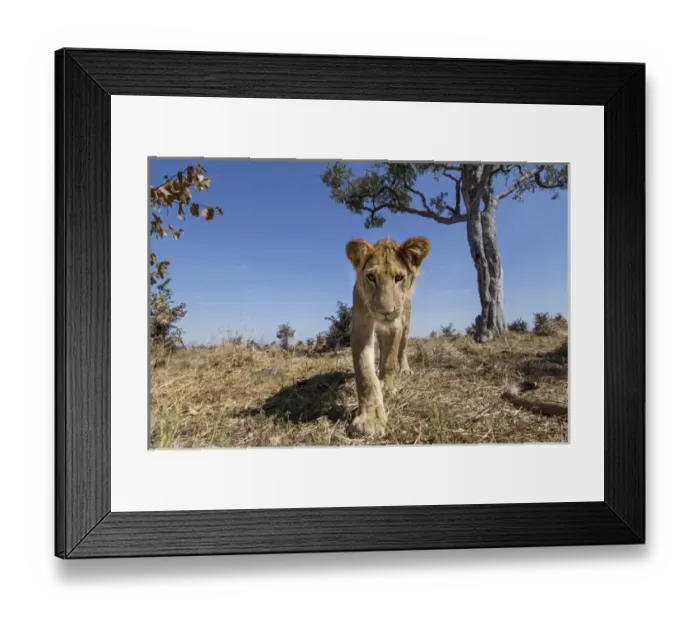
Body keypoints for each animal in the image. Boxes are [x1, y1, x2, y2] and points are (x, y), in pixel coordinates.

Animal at [344, 235, 430, 437]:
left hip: (405, 325)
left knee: (401, 350)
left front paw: (388, 387)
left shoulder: (395, 326)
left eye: (399, 278)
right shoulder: (361, 326)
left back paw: (403, 370)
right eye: (371, 277)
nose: (386, 312)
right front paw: (371, 419)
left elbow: (390, 361)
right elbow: (365, 373)